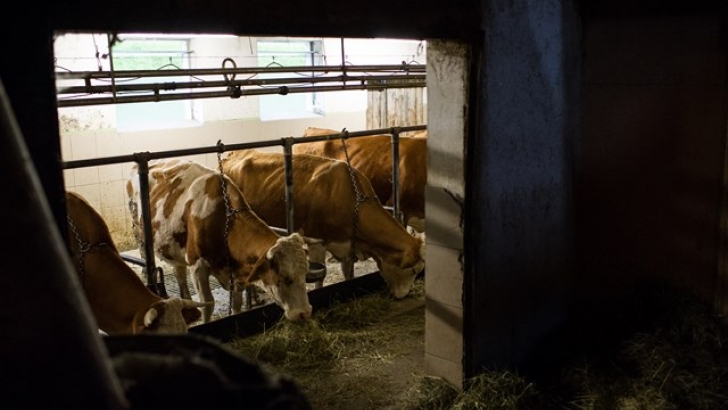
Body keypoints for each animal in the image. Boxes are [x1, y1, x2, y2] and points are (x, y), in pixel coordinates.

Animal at [126, 158, 312, 323]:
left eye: (305, 273)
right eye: (285, 278)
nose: (305, 313)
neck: (224, 222)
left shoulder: (235, 272)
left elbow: (236, 303)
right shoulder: (197, 265)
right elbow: (208, 304)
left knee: (179, 271)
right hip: (139, 234)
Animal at [221, 149, 425, 299]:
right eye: (414, 269)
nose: (403, 295)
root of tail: (231, 155)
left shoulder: (346, 243)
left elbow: (348, 273)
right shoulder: (316, 240)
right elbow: (322, 275)